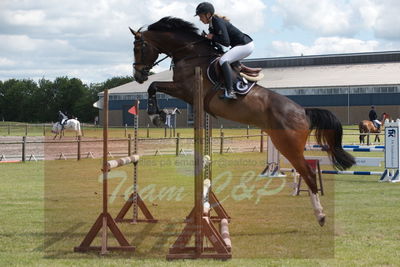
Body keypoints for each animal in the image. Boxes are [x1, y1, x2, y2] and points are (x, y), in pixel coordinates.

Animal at [131, 16, 356, 226]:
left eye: (139, 48)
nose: (138, 75)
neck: (191, 54)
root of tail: (303, 112)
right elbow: (154, 86)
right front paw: (158, 114)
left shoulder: (184, 89)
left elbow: (153, 85)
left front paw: (155, 115)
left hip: (289, 146)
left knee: (308, 174)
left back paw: (320, 215)